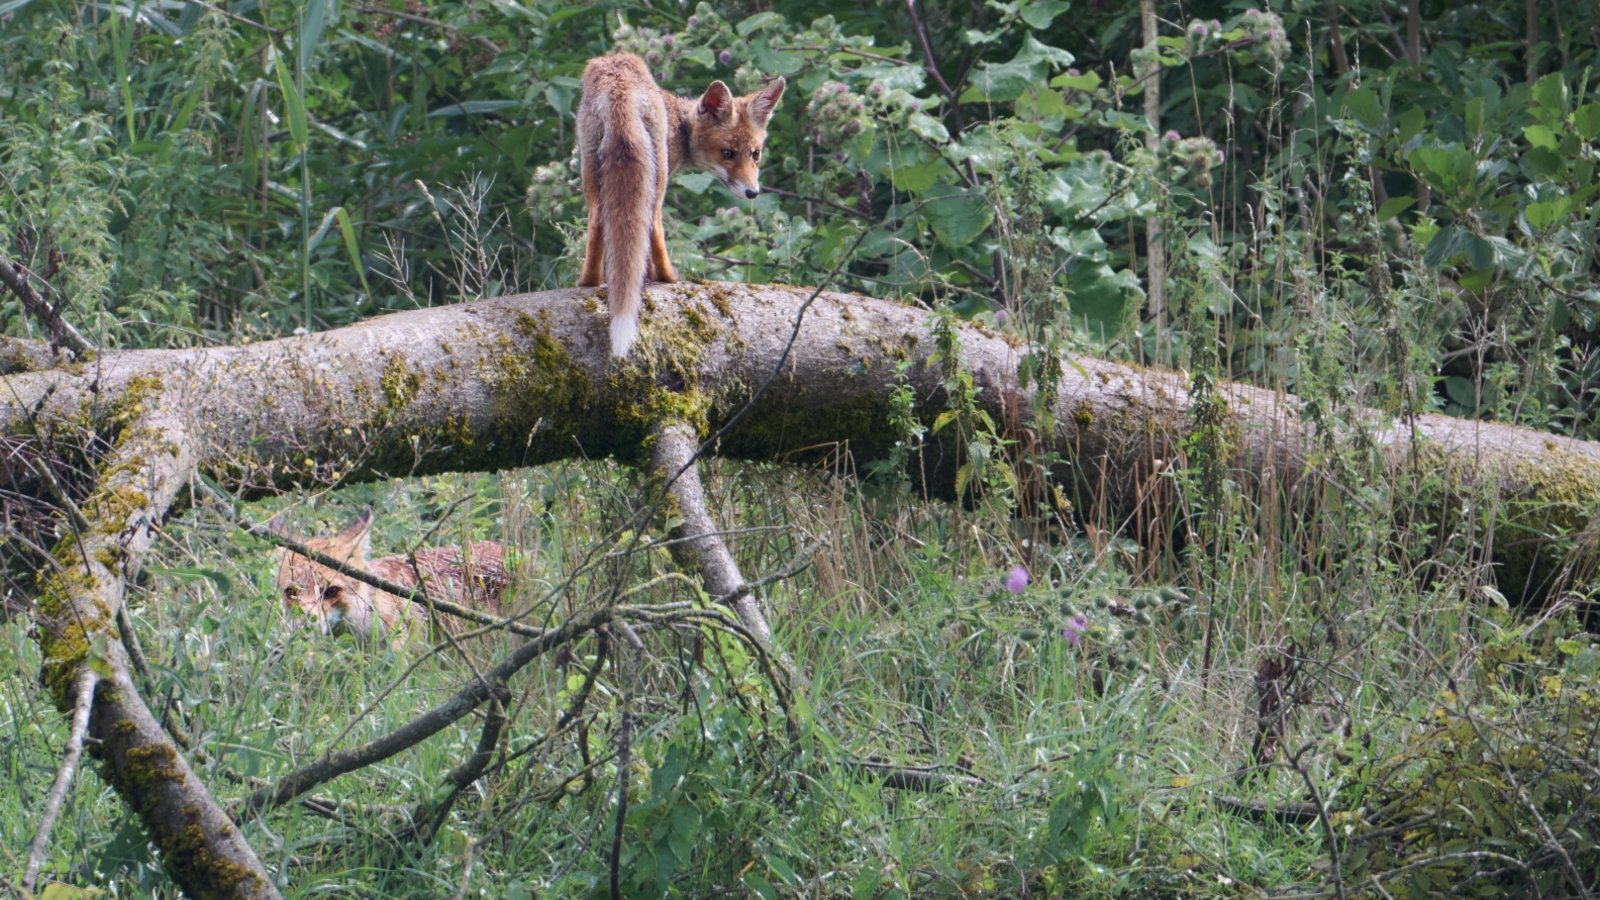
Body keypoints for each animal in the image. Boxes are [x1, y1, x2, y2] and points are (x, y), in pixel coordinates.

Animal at [575, 52, 785, 359]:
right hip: (656, 175)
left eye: (755, 154)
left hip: (591, 168)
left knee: (597, 221)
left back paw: (589, 282)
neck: (680, 126)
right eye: (727, 153)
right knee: (653, 224)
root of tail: (617, 81)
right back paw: (669, 277)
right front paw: (655, 277)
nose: (752, 192)